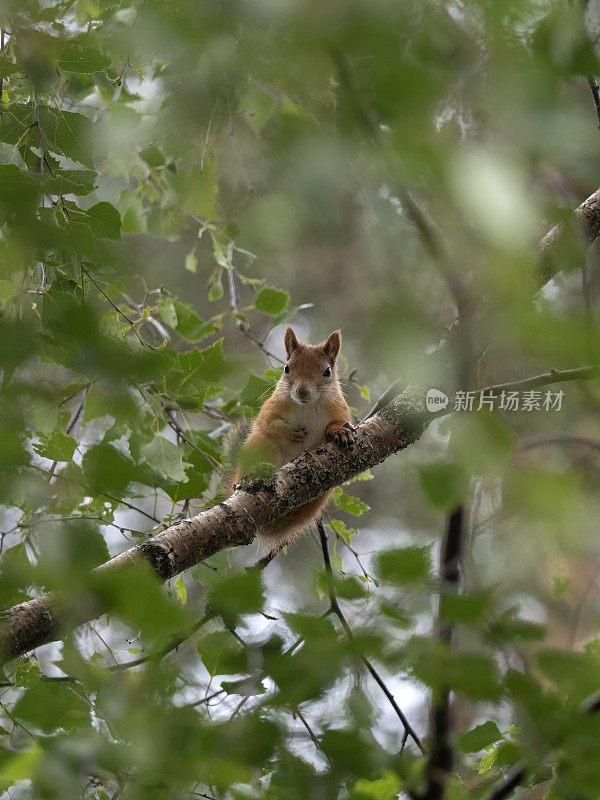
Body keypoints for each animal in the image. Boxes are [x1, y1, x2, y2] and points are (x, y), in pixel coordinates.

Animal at [225, 326, 356, 552]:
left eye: (327, 372)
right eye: (286, 368)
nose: (302, 392)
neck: (308, 406)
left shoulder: (339, 408)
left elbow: (338, 422)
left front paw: (339, 431)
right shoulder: (272, 405)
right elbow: (266, 422)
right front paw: (288, 431)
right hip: (261, 445)